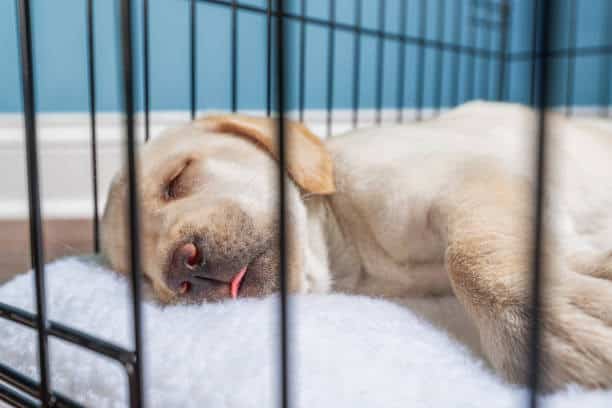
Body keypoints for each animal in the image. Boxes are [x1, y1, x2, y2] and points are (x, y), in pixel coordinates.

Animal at [100, 101, 612, 388]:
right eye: (142, 276)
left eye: (176, 180)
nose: (180, 270)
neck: (352, 253)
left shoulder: (474, 180)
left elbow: (469, 257)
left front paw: (557, 324)